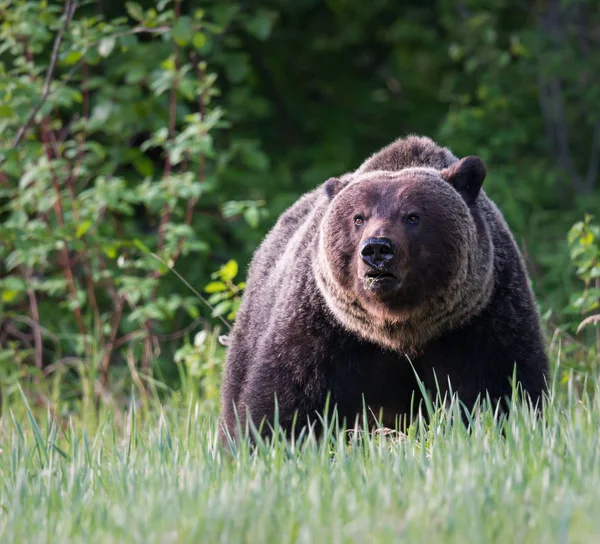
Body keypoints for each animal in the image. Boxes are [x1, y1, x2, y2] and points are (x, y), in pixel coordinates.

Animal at [219, 136, 548, 442]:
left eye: (412, 216)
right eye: (358, 217)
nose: (377, 249)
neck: (401, 330)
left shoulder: (483, 319)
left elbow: (506, 388)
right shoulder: (322, 328)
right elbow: (285, 400)